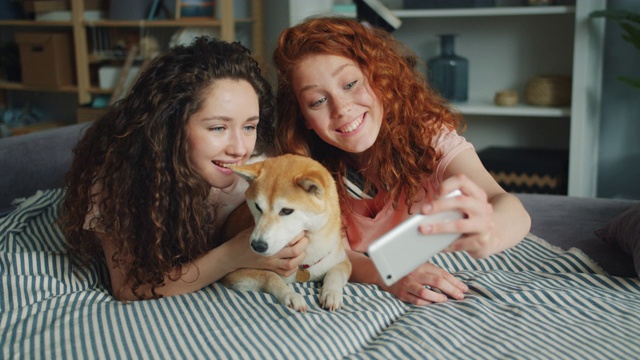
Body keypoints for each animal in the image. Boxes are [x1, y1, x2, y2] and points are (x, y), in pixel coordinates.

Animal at [219, 153, 350, 310]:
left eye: (286, 211)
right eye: (257, 206)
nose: (257, 245)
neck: (304, 262)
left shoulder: (343, 261)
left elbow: (334, 273)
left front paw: (331, 293)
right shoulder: (233, 274)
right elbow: (270, 276)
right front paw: (290, 295)